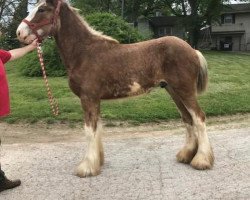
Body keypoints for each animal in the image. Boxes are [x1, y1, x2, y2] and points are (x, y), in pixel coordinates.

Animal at [16, 0, 214, 178]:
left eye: (42, 9)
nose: (20, 32)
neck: (84, 53)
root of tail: (192, 50)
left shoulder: (88, 98)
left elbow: (89, 130)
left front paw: (86, 167)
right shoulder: (94, 100)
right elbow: (97, 128)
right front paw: (97, 162)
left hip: (184, 90)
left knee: (199, 117)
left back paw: (202, 160)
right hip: (173, 91)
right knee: (188, 118)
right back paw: (186, 156)